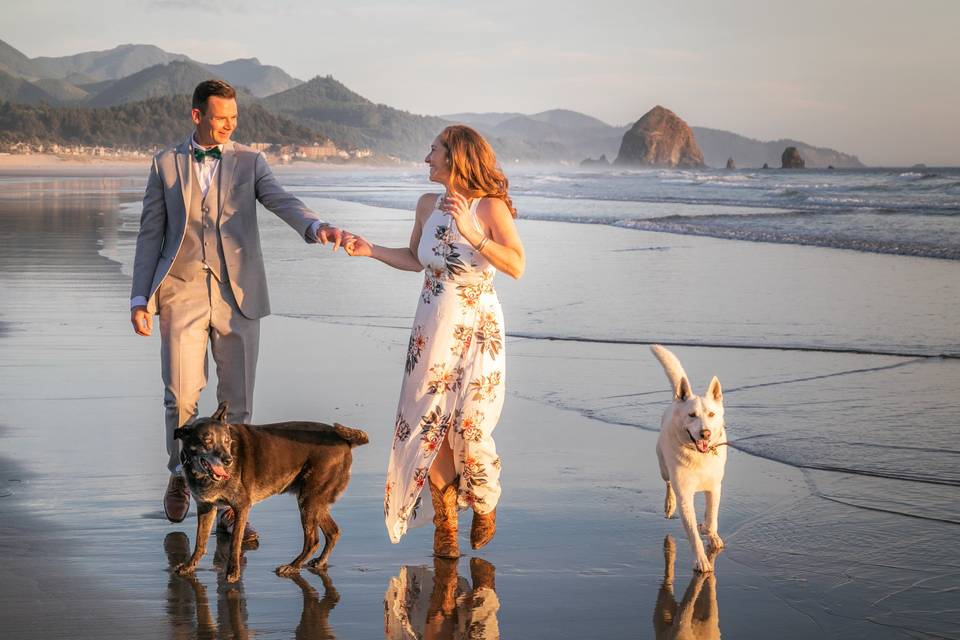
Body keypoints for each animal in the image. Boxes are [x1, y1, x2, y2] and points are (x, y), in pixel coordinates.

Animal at [172, 402, 368, 584]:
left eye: (227, 441)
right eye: (207, 440)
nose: (228, 460)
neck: (202, 474)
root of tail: (344, 440)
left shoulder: (241, 507)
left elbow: (235, 543)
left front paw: (233, 572)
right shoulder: (206, 506)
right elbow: (200, 541)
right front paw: (189, 566)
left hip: (308, 500)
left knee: (313, 540)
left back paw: (293, 566)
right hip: (315, 501)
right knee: (333, 532)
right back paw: (319, 561)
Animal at [652, 348, 728, 572]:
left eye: (711, 414)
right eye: (692, 415)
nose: (705, 433)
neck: (698, 455)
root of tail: (677, 399)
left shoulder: (715, 488)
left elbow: (711, 519)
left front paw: (709, 532)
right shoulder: (685, 495)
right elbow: (693, 533)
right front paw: (702, 560)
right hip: (663, 467)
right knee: (668, 483)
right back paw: (669, 505)